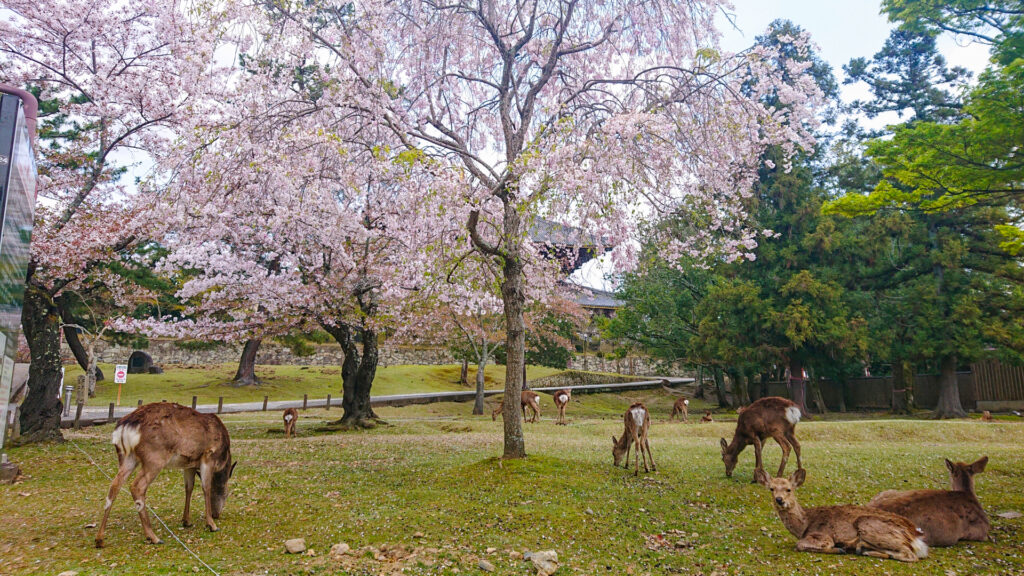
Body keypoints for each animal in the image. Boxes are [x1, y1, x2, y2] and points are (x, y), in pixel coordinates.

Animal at [95, 401, 236, 545]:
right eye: (227, 493)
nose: (216, 514)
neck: (222, 457)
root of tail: (124, 428)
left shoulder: (189, 464)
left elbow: (189, 488)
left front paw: (186, 521)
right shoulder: (208, 456)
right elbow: (206, 487)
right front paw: (211, 525)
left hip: (126, 457)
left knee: (114, 486)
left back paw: (99, 539)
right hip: (154, 458)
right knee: (137, 486)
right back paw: (153, 537)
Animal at [753, 467, 929, 561]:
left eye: (789, 489)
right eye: (771, 489)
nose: (779, 500)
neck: (804, 525)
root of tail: (915, 535)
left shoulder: (822, 535)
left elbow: (800, 545)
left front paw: (838, 549)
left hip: (867, 524)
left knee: (910, 555)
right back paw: (861, 547)